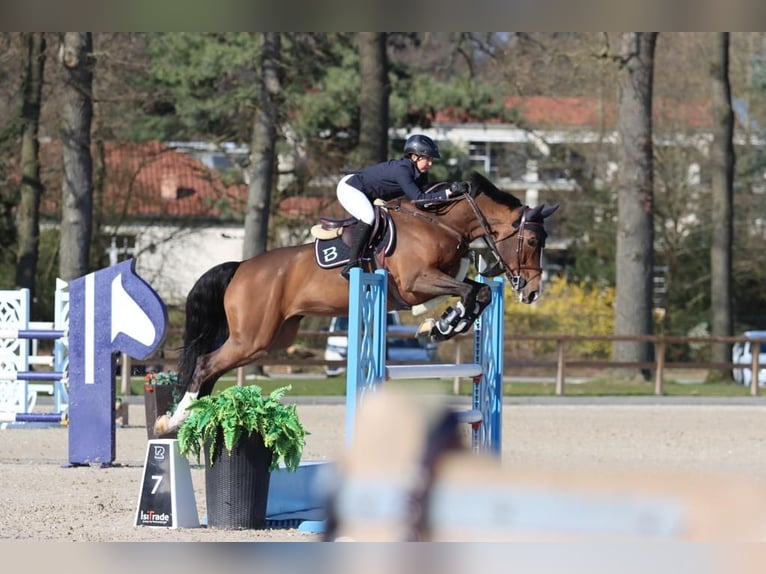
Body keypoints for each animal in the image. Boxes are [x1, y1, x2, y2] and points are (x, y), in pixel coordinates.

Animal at [154, 171, 560, 436]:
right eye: (532, 242)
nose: (532, 292)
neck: (441, 222)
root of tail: (241, 268)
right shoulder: (414, 284)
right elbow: (470, 292)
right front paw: (443, 325)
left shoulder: (433, 283)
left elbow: (479, 292)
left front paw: (440, 325)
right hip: (252, 337)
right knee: (206, 364)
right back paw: (172, 420)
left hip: (269, 341)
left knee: (213, 367)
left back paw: (190, 417)